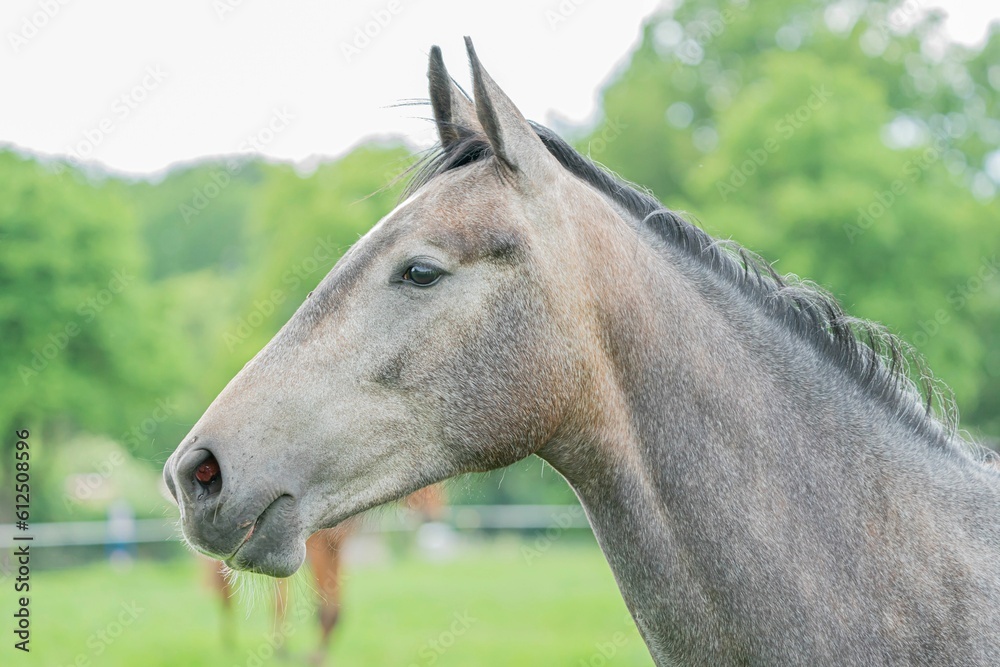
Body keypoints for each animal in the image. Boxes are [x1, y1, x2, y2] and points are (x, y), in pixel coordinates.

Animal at [203, 485, 445, 665]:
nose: (432, 516)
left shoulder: (336, 550)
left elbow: (335, 612)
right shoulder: (319, 549)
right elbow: (325, 611)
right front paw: (315, 657)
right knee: (226, 592)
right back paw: (232, 643)